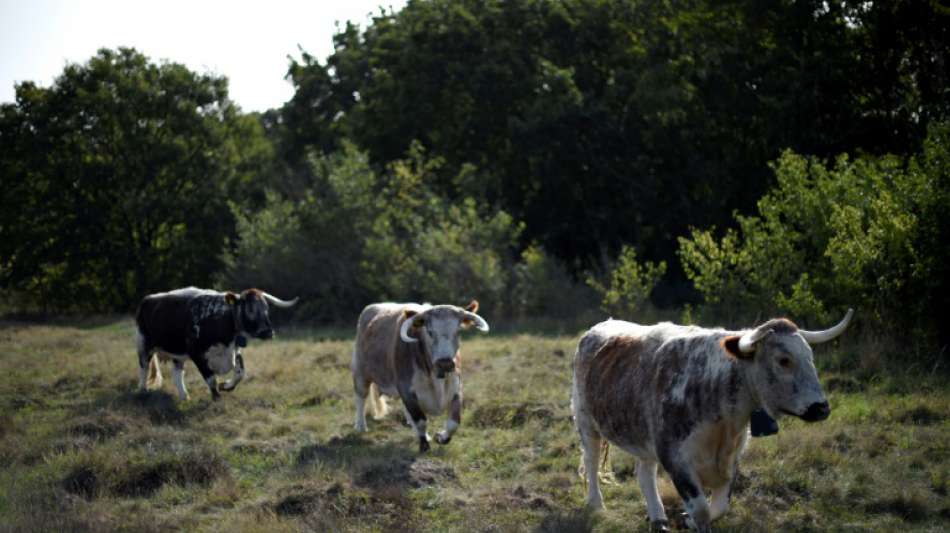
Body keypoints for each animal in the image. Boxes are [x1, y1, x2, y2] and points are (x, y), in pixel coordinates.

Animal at [135, 286, 298, 400]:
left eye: (266, 309)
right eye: (250, 309)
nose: (268, 332)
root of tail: (147, 299)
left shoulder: (235, 350)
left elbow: (240, 373)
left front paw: (225, 386)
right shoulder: (197, 354)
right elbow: (211, 379)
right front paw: (217, 397)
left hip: (177, 352)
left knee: (177, 373)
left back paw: (184, 396)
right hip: (144, 344)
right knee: (144, 368)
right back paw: (143, 390)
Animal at [356, 302, 494, 450]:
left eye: (458, 331)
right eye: (430, 332)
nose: (445, 363)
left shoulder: (456, 388)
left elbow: (454, 423)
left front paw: (441, 437)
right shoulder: (406, 390)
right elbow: (420, 420)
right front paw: (424, 444)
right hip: (359, 372)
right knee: (361, 397)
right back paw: (361, 426)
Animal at [572, 310, 856, 528]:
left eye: (810, 357)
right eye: (783, 360)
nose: (821, 408)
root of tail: (598, 328)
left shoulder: (731, 458)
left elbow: (719, 507)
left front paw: (685, 520)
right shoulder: (677, 458)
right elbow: (701, 509)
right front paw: (691, 518)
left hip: (642, 433)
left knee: (645, 472)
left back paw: (658, 517)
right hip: (586, 423)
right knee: (592, 462)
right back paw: (596, 504)